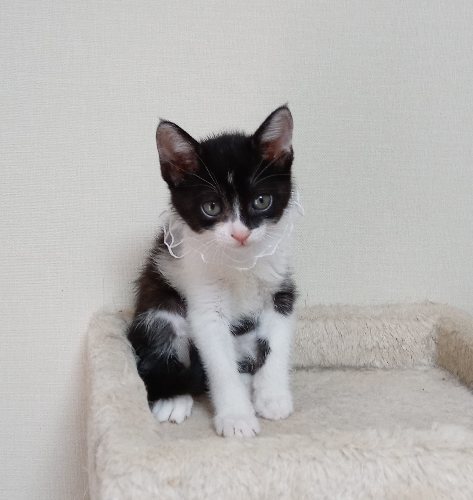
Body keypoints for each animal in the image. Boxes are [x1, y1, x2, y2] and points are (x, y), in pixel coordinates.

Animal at [128, 105, 298, 437]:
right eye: (212, 208)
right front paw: (236, 417)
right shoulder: (203, 299)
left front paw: (272, 397)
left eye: (261, 201)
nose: (240, 234)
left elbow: (275, 343)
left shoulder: (281, 289)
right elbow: (219, 362)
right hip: (159, 306)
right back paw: (173, 399)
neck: (241, 261)